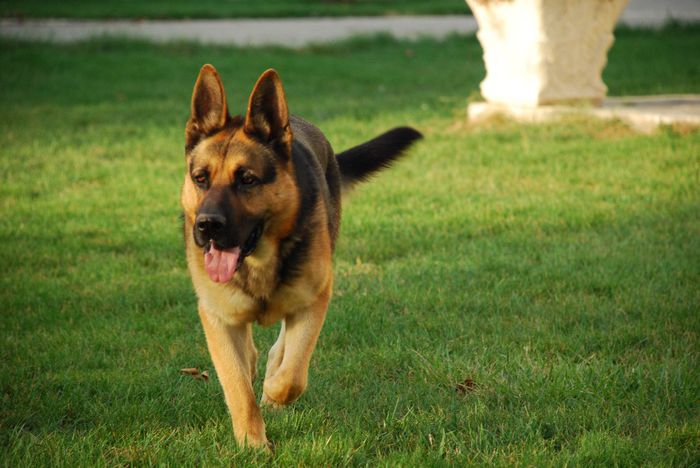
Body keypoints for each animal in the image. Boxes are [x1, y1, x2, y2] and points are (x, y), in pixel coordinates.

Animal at [182, 64, 422, 448]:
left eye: (247, 179)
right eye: (200, 178)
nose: (207, 226)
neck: (258, 261)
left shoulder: (313, 301)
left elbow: (291, 376)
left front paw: (272, 394)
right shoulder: (217, 317)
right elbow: (237, 385)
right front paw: (252, 443)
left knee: (279, 350)